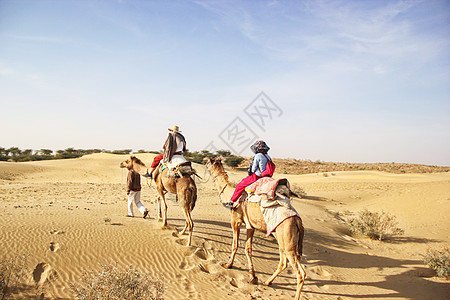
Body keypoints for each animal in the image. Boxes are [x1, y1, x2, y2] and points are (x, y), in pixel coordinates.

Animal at [205, 158, 306, 298]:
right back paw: (267, 282)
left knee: (300, 272)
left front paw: (228, 264)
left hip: (288, 240)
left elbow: (235, 245)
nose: (204, 162)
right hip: (281, 237)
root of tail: (298, 221)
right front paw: (252, 276)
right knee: (283, 262)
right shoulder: (250, 226)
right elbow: (248, 249)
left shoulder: (235, 221)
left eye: (209, 162)